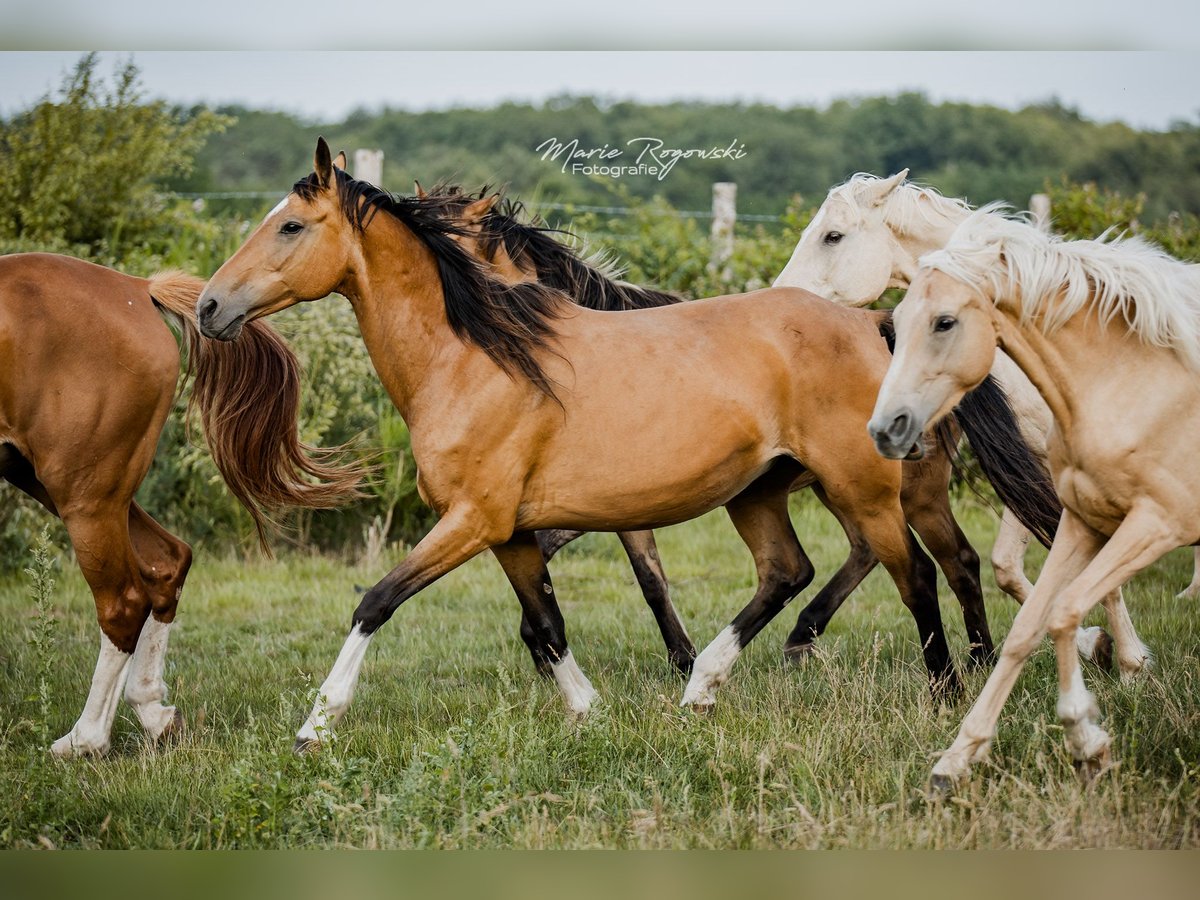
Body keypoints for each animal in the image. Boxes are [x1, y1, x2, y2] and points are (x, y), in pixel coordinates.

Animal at [0, 252, 362, 756]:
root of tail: (136, 287)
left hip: (82, 492)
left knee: (123, 602)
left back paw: (86, 739)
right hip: (63, 483)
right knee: (167, 561)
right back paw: (154, 712)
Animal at [196, 139, 1049, 750]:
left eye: (290, 225)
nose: (208, 306)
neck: (476, 357)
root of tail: (876, 322)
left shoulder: (472, 520)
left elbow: (376, 601)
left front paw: (316, 723)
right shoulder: (512, 531)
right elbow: (547, 624)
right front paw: (588, 709)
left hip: (867, 488)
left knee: (923, 574)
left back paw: (945, 691)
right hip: (761, 494)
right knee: (790, 571)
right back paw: (703, 687)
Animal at [774, 171, 1151, 678]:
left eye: (833, 236)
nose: (780, 300)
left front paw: (1131, 663)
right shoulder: (1032, 460)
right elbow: (1007, 566)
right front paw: (1095, 644)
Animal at [869, 209, 1194, 789]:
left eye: (945, 322)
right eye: (896, 327)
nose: (887, 429)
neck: (1123, 381)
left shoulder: (1156, 521)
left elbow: (1065, 604)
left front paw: (1098, 718)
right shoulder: (1083, 514)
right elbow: (1029, 618)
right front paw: (956, 761)